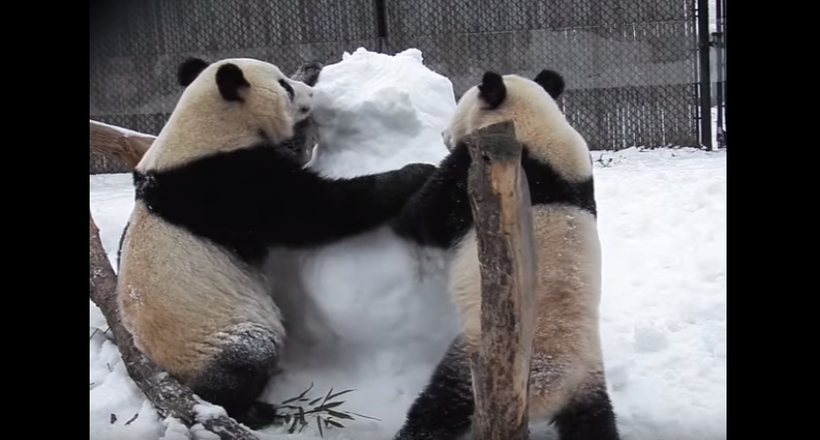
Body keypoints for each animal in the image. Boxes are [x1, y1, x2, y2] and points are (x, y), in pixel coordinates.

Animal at [116, 55, 438, 430]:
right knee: (245, 358)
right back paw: (252, 410)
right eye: (284, 87)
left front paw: (310, 69)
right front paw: (415, 173)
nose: (311, 92)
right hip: (214, 338)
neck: (203, 128)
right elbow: (310, 211)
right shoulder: (225, 185)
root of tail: (171, 376)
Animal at [392, 69, 620, 440]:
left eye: (458, 108)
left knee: (438, 407)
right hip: (588, 387)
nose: (443, 135)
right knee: (596, 425)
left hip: (474, 364)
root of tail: (542, 391)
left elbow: (422, 218)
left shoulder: (473, 174)